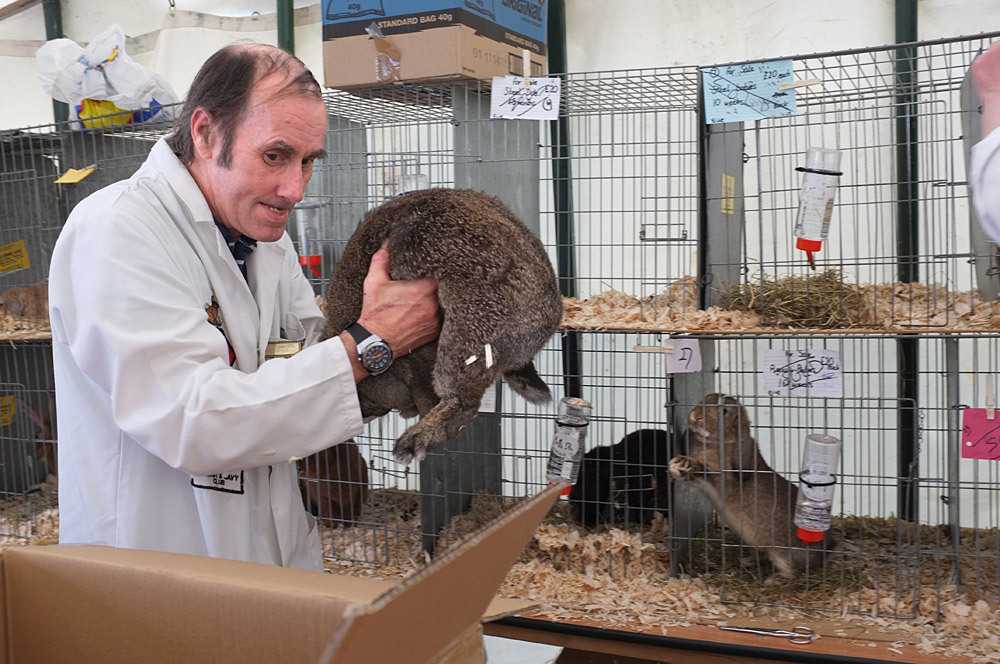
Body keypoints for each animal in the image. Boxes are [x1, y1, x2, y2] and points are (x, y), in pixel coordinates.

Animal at [672, 392, 828, 584]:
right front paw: (676, 466)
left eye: (724, 411)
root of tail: (821, 554)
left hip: (782, 552)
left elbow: (705, 472)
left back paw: (773, 580)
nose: (696, 417)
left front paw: (687, 465)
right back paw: (746, 561)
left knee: (793, 570)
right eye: (705, 399)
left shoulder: (720, 477)